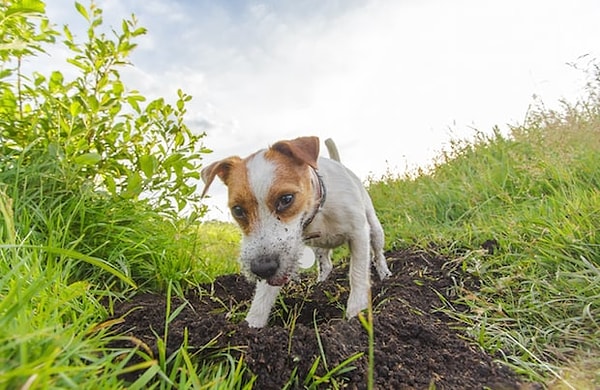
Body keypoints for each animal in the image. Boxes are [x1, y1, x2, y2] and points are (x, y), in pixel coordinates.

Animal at [199, 136, 392, 328]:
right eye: (238, 210)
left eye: (286, 199)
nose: (262, 269)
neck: (317, 211)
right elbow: (263, 295)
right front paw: (251, 324)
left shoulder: (358, 233)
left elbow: (357, 273)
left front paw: (357, 312)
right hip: (318, 248)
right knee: (326, 264)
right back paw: (321, 283)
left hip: (375, 229)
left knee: (377, 254)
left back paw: (385, 274)